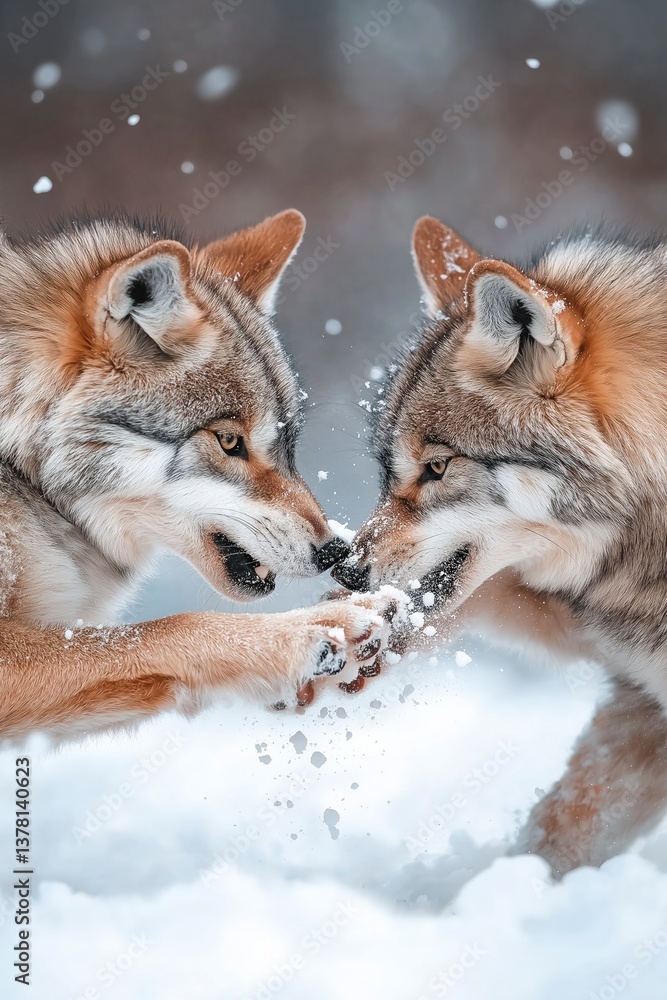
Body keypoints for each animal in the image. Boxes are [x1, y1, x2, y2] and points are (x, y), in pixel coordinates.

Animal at [0, 209, 394, 741]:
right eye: (229, 441)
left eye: (288, 444)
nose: (335, 551)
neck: (24, 474)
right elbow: (173, 626)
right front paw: (311, 631)